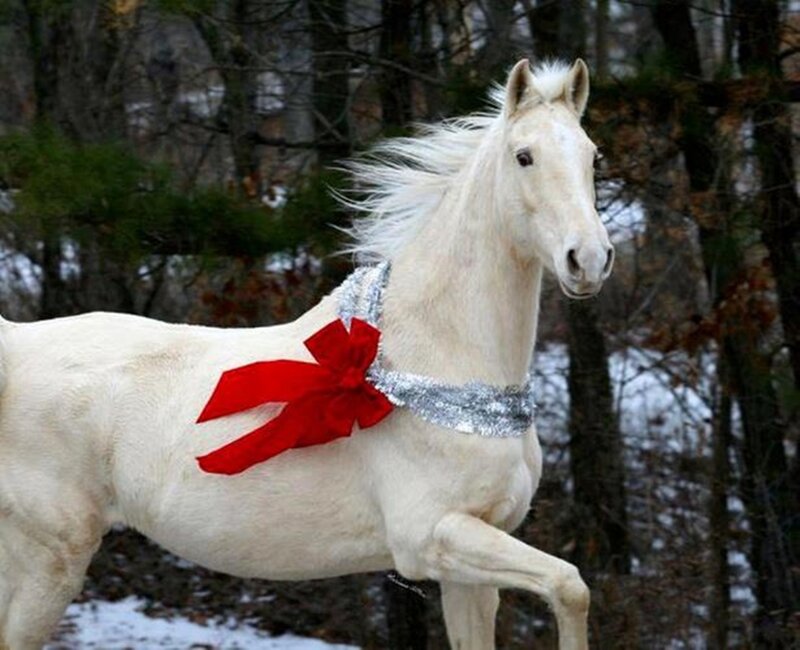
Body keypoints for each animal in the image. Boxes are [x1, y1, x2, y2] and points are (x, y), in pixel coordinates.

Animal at [0, 58, 613, 650]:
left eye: (592, 155)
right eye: (523, 156)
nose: (588, 259)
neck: (439, 358)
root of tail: (14, 348)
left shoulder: (471, 564)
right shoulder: (431, 536)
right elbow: (571, 586)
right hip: (48, 560)